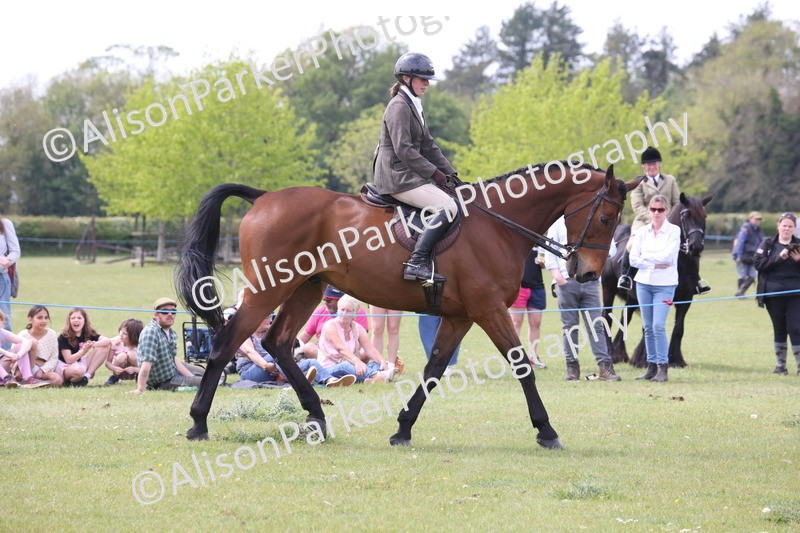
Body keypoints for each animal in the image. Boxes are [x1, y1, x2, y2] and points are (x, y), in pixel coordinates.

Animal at [177, 162, 638, 449]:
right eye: (605, 219)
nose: (588, 274)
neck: (497, 225)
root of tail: (265, 197)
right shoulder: (488, 310)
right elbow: (521, 363)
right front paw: (546, 430)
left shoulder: (460, 316)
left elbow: (434, 369)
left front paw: (402, 429)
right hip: (268, 290)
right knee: (228, 342)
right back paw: (198, 422)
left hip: (306, 289)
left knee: (278, 342)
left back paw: (316, 418)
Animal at [600, 193, 713, 367]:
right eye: (686, 215)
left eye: (704, 216)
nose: (696, 247)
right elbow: (649, 326)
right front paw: (643, 359)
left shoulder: (686, 299)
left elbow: (678, 328)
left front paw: (676, 360)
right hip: (608, 289)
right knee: (607, 316)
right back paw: (610, 354)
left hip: (632, 298)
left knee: (625, 316)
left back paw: (619, 353)